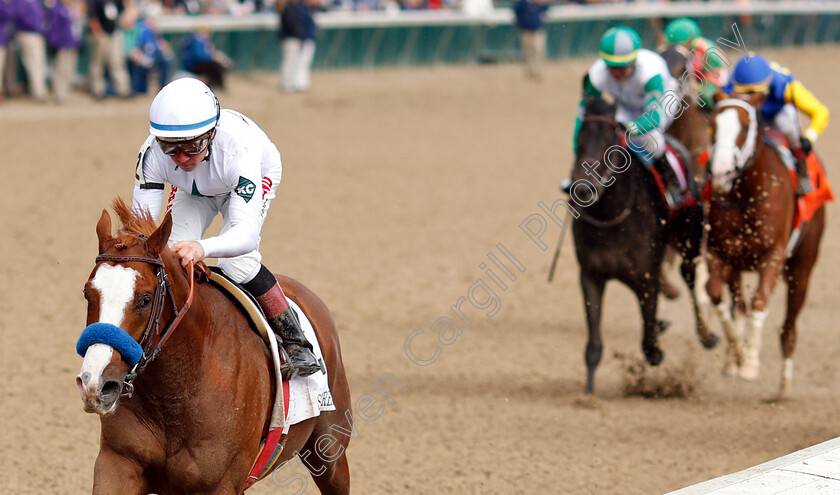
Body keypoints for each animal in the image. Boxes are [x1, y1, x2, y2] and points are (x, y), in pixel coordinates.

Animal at [74, 200, 352, 494]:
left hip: (331, 451)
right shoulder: (118, 462)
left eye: (145, 299)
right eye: (87, 293)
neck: (175, 395)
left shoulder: (221, 483)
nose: (95, 384)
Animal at [572, 94, 716, 396]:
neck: (611, 214)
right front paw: (588, 392)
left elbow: (649, 344)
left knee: (690, 277)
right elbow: (594, 344)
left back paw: (707, 335)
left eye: (610, 138)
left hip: (689, 238)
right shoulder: (591, 274)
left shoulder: (646, 275)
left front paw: (657, 350)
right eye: (579, 137)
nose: (582, 189)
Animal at [708, 95, 828, 400]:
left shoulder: (773, 256)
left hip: (802, 268)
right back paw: (733, 359)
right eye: (712, 124)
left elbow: (760, 302)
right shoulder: (719, 252)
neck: (748, 195)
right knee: (739, 304)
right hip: (736, 266)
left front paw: (750, 362)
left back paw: (783, 388)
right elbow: (715, 293)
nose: (721, 173)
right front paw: (738, 355)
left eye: (745, 125)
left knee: (789, 329)